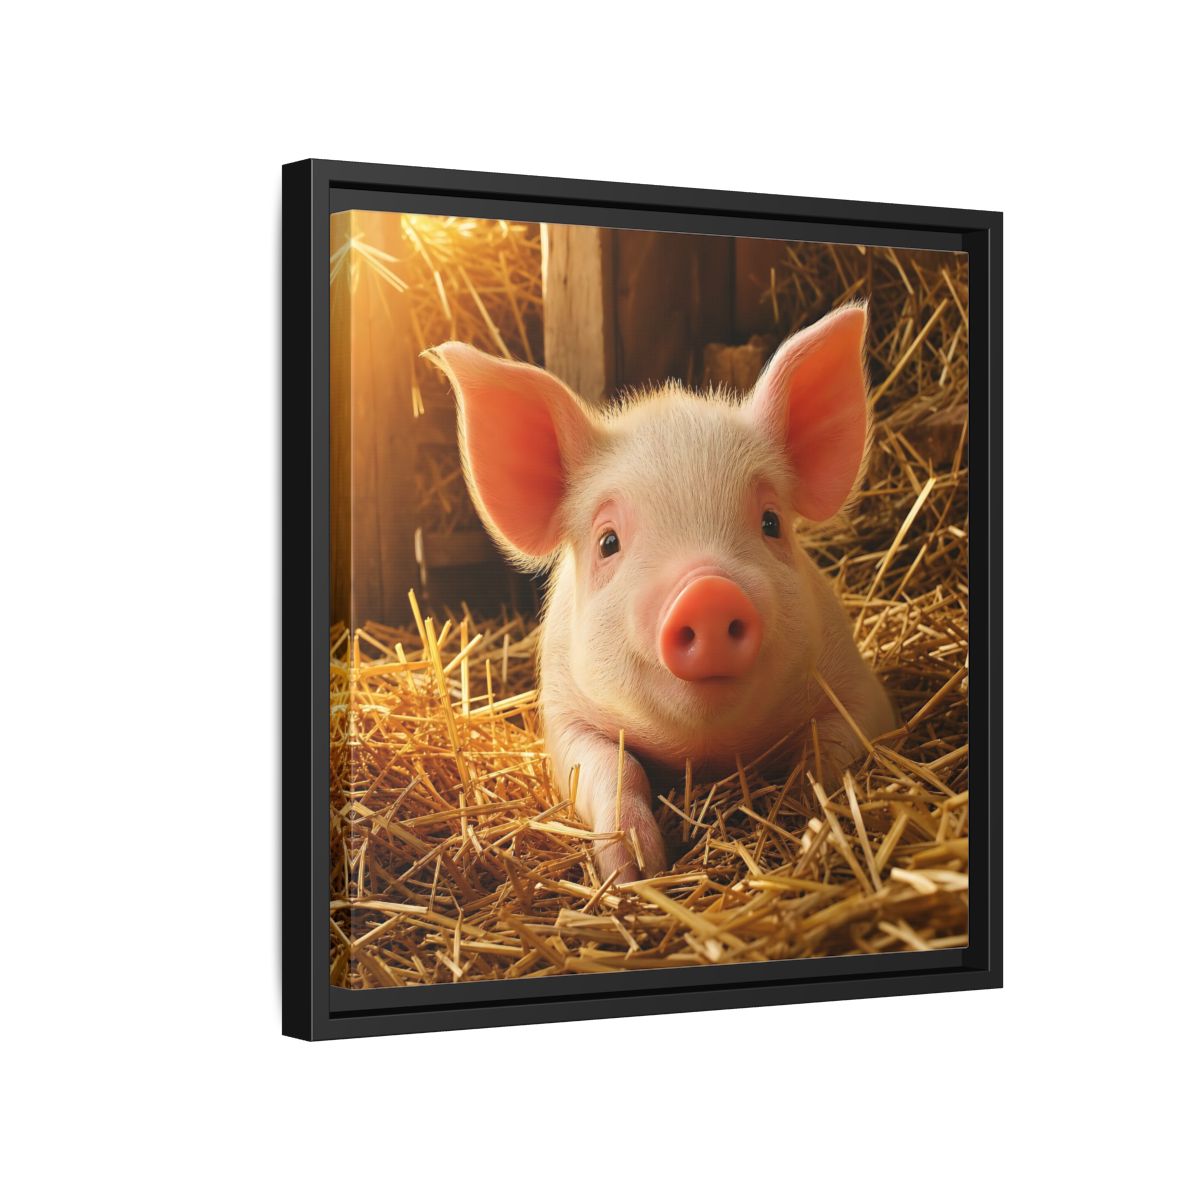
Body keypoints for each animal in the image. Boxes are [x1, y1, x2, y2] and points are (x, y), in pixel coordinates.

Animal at [430, 303, 895, 883]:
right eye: (608, 541)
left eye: (771, 522)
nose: (708, 592)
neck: (707, 751)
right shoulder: (562, 714)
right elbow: (613, 767)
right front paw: (633, 872)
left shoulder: (858, 687)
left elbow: (828, 748)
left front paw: (808, 818)